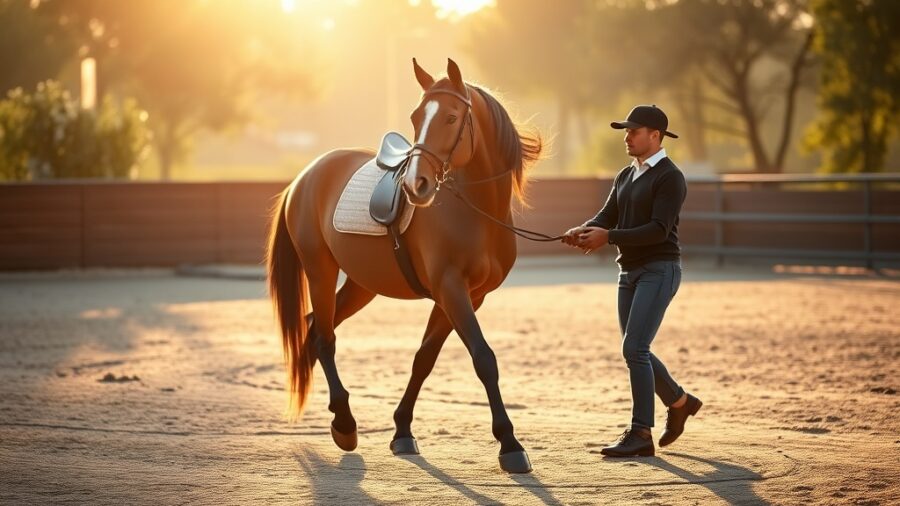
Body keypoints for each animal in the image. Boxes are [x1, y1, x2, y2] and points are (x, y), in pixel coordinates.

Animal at [266, 58, 542, 473]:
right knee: (325, 338)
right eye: (416, 117)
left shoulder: (466, 296)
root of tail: (305, 175)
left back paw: (334, 415)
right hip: (320, 270)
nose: (415, 186)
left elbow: (423, 360)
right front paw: (509, 443)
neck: (474, 212)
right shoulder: (451, 289)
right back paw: (345, 424)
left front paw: (402, 431)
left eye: (451, 117)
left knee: (315, 328)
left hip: (361, 285)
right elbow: (483, 358)